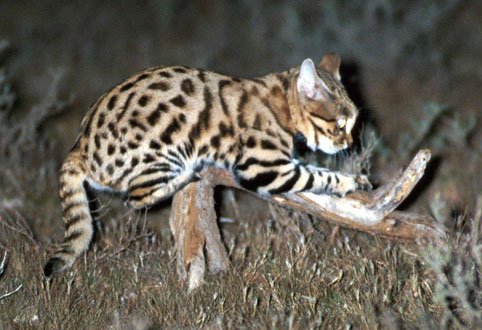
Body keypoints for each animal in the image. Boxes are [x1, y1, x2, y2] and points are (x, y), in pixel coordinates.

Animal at [44, 53, 370, 276]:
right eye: (340, 123)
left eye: (353, 122)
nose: (349, 144)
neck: (281, 105)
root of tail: (79, 148)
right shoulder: (265, 168)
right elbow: (318, 175)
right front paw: (352, 181)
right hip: (165, 151)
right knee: (134, 197)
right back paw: (187, 175)